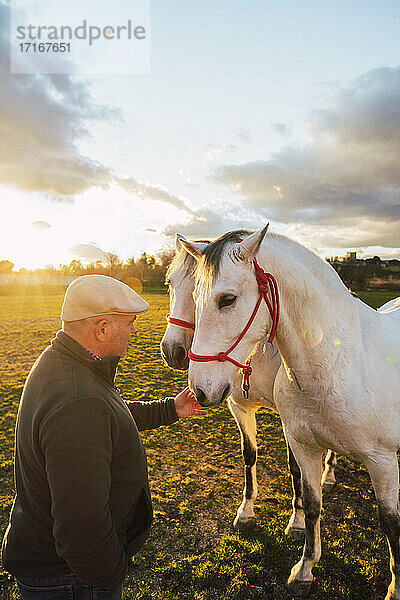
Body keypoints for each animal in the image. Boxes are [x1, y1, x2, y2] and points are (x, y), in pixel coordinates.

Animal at [159, 232, 338, 536]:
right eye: (170, 284)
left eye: (226, 299)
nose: (172, 350)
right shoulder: (239, 407)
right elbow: (249, 455)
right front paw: (246, 510)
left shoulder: (292, 420)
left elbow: (295, 467)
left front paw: (298, 518)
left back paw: (328, 473)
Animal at [182, 226, 400, 600]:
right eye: (195, 297)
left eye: (227, 299)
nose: (199, 390)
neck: (336, 362)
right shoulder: (304, 445)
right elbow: (312, 506)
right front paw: (305, 568)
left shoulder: (382, 462)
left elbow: (390, 525)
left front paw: (395, 588)